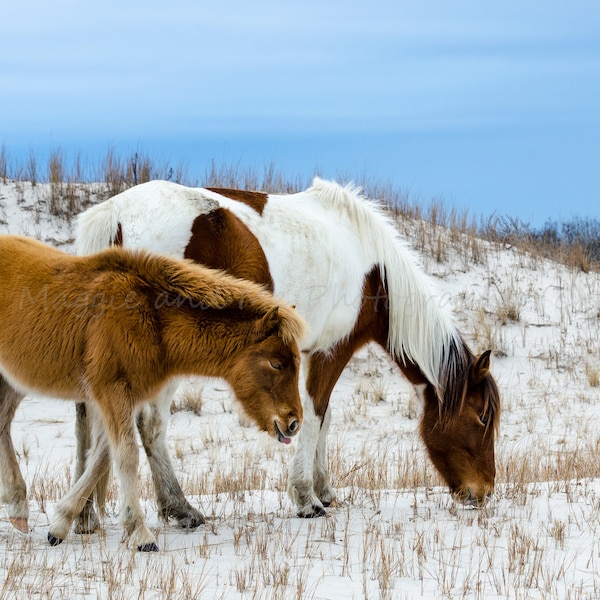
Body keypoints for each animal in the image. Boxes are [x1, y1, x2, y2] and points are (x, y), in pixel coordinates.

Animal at [0, 232, 304, 552]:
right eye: (276, 363)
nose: (293, 423)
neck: (150, 317)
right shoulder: (113, 392)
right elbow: (126, 456)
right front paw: (140, 533)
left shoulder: (125, 398)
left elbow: (102, 457)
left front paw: (59, 523)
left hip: (13, 381)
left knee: (2, 425)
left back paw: (18, 508)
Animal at [75, 177, 502, 524]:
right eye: (482, 416)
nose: (483, 492)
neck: (371, 266)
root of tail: (115, 215)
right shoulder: (332, 350)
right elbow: (314, 413)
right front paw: (306, 498)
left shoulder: (315, 352)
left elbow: (325, 418)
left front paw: (324, 490)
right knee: (150, 425)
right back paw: (178, 508)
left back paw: (85, 515)